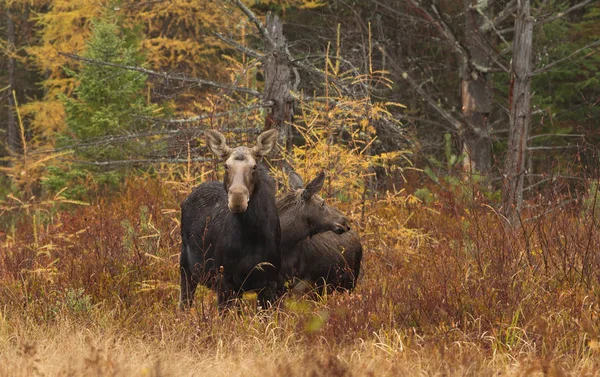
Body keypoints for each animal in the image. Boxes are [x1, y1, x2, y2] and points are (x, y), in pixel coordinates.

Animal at [179, 128, 280, 310]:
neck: (252, 234)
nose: (237, 199)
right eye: (226, 166)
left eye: (254, 166)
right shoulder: (224, 281)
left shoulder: (270, 282)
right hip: (186, 270)